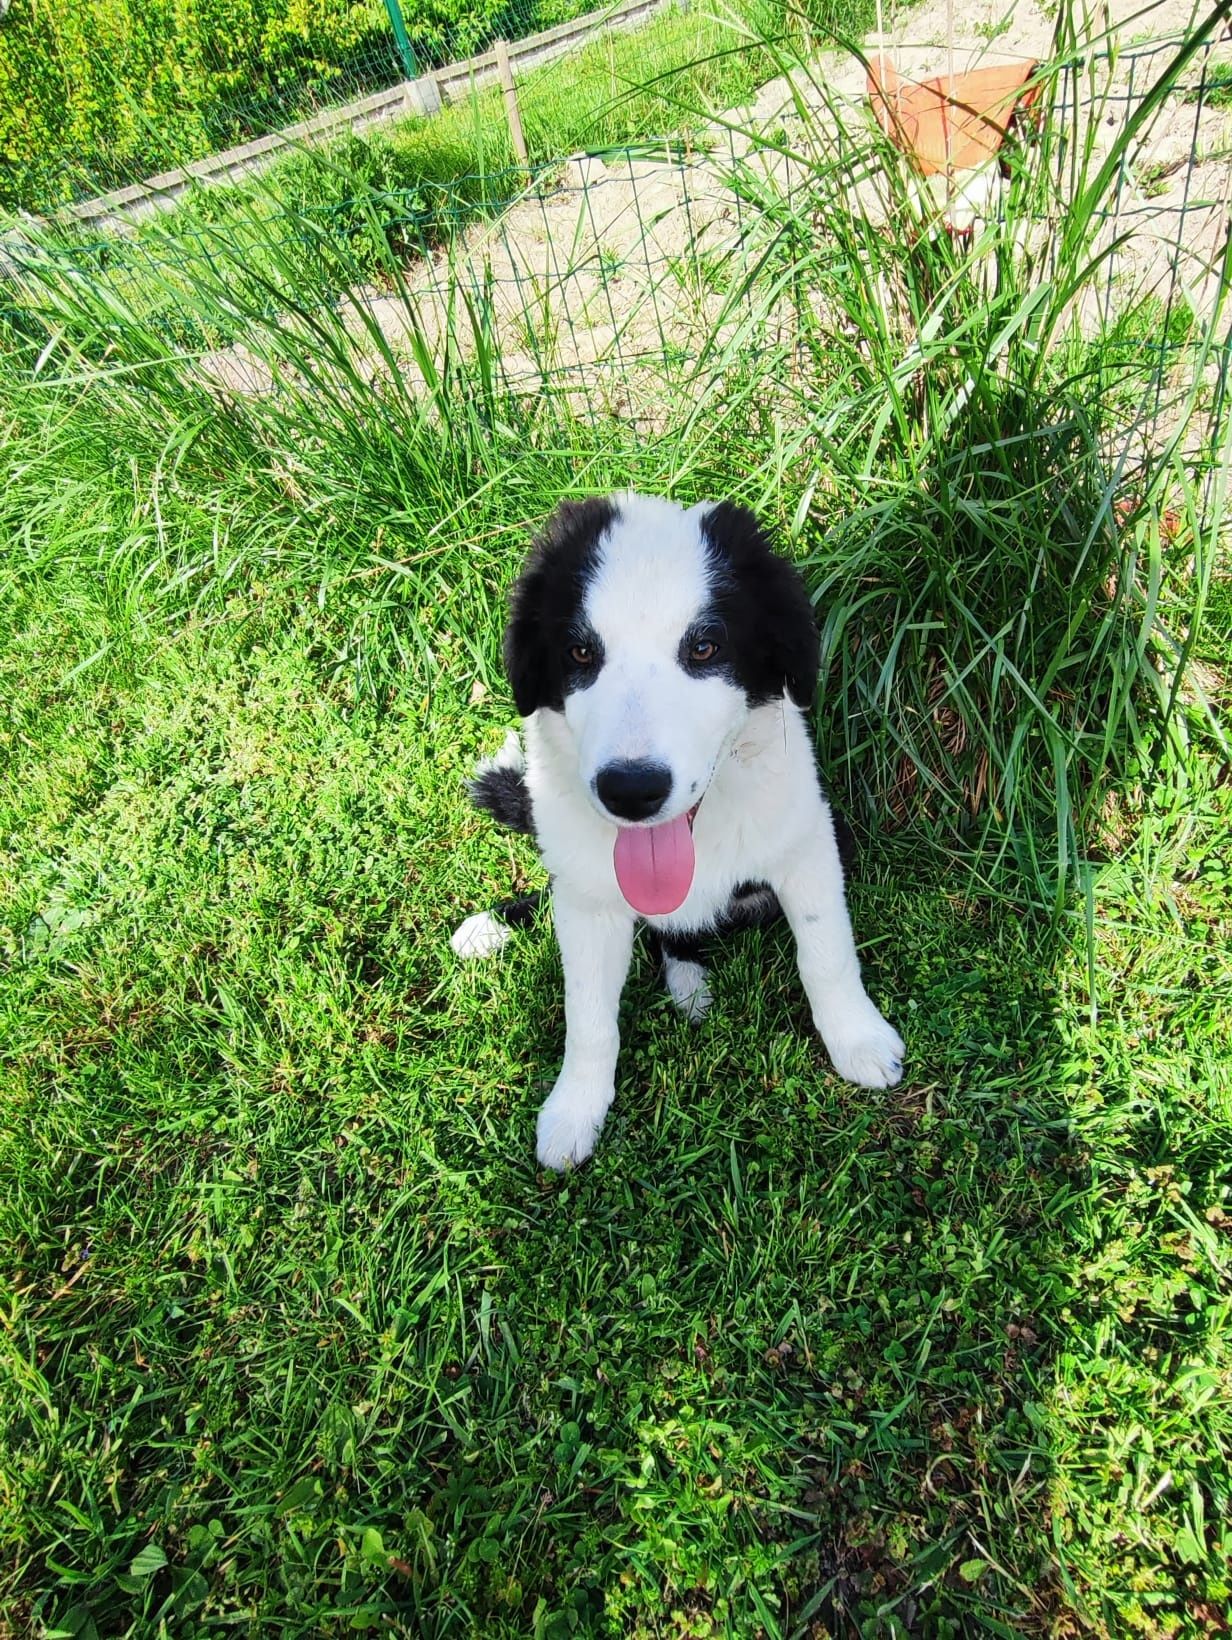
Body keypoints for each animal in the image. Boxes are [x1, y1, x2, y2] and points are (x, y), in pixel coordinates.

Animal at [456, 492, 905, 1174]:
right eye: (580, 654)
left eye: (704, 648)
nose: (631, 791)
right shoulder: (588, 902)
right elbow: (588, 1014)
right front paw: (574, 1110)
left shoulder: (807, 846)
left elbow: (826, 954)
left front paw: (859, 1041)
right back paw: (495, 927)